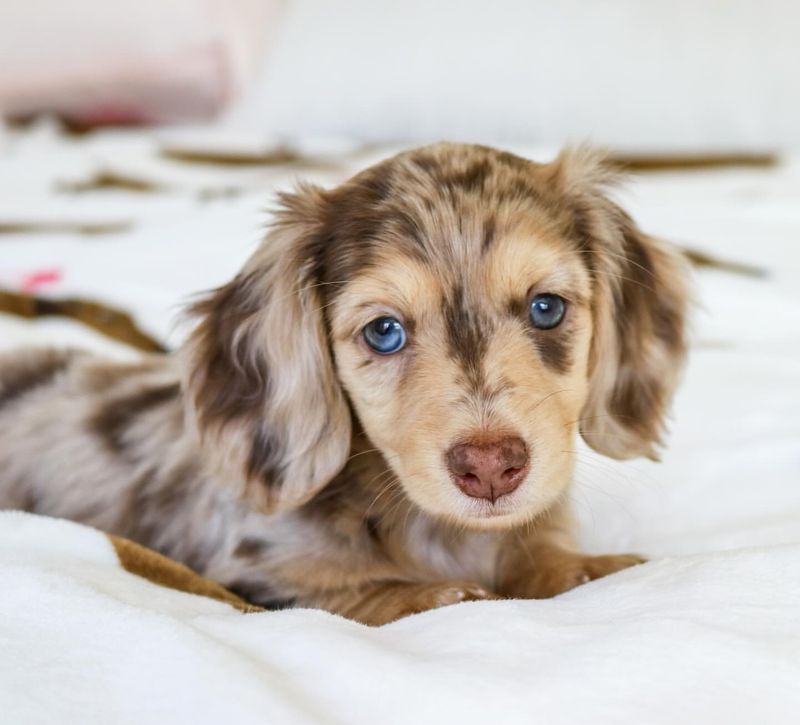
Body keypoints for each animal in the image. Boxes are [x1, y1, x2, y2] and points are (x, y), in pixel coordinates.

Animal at [0, 144, 688, 624]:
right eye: (384, 331)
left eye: (546, 308)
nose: (491, 468)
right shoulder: (254, 575)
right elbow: (359, 595)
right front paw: (436, 594)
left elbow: (547, 558)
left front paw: (585, 569)